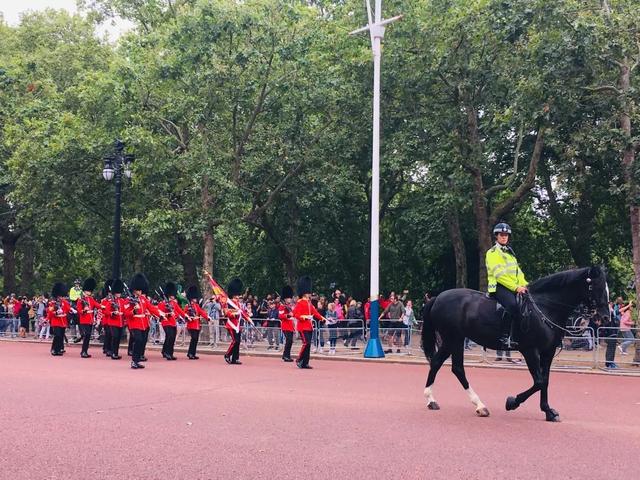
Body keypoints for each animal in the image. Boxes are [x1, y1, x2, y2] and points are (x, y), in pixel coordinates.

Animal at [420, 266, 608, 420]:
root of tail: (437, 298)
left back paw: (432, 400)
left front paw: (547, 411)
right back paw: (479, 405)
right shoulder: (530, 350)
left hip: (451, 341)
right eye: (596, 287)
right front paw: (512, 402)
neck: (544, 308)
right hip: (455, 339)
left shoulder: (548, 351)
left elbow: (545, 380)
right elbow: (539, 381)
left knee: (437, 362)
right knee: (457, 368)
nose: (605, 317)